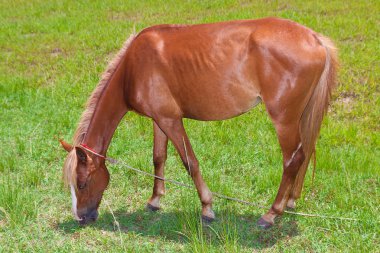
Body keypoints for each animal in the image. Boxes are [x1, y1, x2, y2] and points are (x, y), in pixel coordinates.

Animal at [60, 16, 338, 228]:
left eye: (82, 183)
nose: (81, 217)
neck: (134, 67)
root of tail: (315, 39)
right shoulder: (158, 120)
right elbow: (158, 158)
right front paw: (154, 200)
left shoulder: (171, 120)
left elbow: (190, 163)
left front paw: (207, 208)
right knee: (304, 155)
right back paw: (290, 201)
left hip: (284, 121)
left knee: (293, 160)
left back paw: (271, 213)